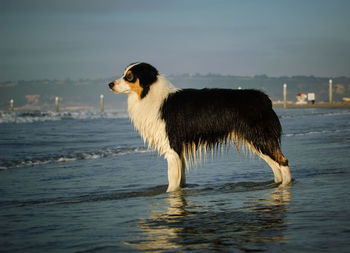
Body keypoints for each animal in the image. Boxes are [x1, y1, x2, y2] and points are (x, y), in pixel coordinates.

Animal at [108, 62, 292, 191]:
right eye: (124, 74)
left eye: (129, 76)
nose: (109, 84)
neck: (149, 94)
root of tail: (264, 98)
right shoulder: (179, 152)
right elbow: (180, 179)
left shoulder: (172, 147)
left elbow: (172, 183)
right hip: (256, 139)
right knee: (275, 165)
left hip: (260, 137)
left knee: (283, 161)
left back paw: (286, 186)